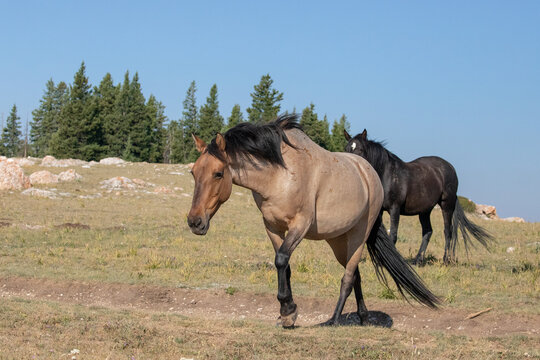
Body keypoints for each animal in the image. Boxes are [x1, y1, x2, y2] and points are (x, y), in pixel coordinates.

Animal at [186, 114, 438, 326]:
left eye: (218, 173)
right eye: (193, 172)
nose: (195, 222)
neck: (280, 175)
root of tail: (368, 172)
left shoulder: (300, 225)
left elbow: (281, 260)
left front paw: (288, 310)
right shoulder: (272, 227)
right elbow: (284, 265)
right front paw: (286, 312)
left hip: (359, 235)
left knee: (348, 277)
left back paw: (333, 320)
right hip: (338, 240)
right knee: (355, 273)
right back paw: (363, 317)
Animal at [344, 129, 492, 264]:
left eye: (360, 149)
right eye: (347, 148)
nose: (351, 166)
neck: (386, 175)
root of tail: (449, 167)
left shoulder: (394, 209)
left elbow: (393, 235)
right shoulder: (379, 210)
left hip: (447, 205)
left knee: (447, 231)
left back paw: (445, 260)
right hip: (425, 211)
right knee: (427, 231)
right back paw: (418, 260)